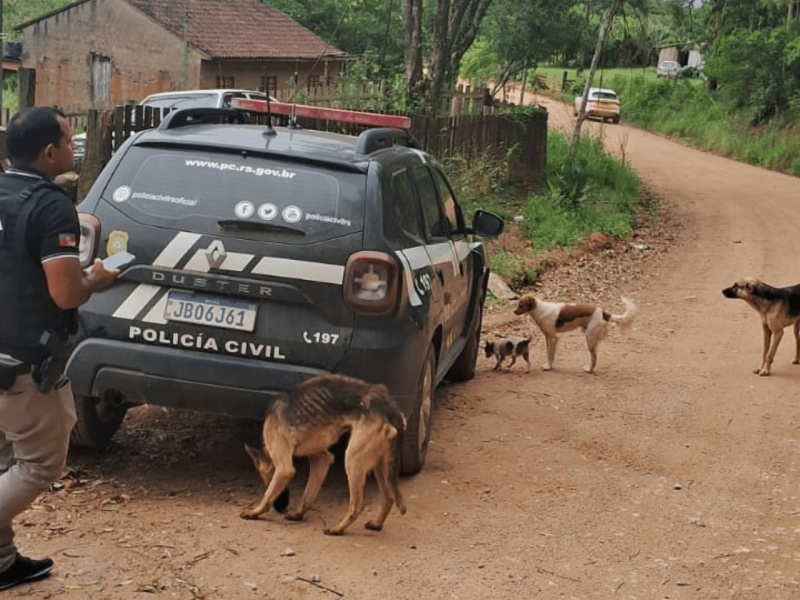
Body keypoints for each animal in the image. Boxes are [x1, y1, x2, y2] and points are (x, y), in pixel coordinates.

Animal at [239, 372, 406, 536]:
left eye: (265, 478)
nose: (281, 506)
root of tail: (388, 406)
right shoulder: (322, 459)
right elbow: (308, 495)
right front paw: (298, 514)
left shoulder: (284, 469)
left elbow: (268, 494)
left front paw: (255, 512)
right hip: (380, 465)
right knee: (389, 497)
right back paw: (376, 524)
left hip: (353, 460)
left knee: (357, 505)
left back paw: (338, 529)